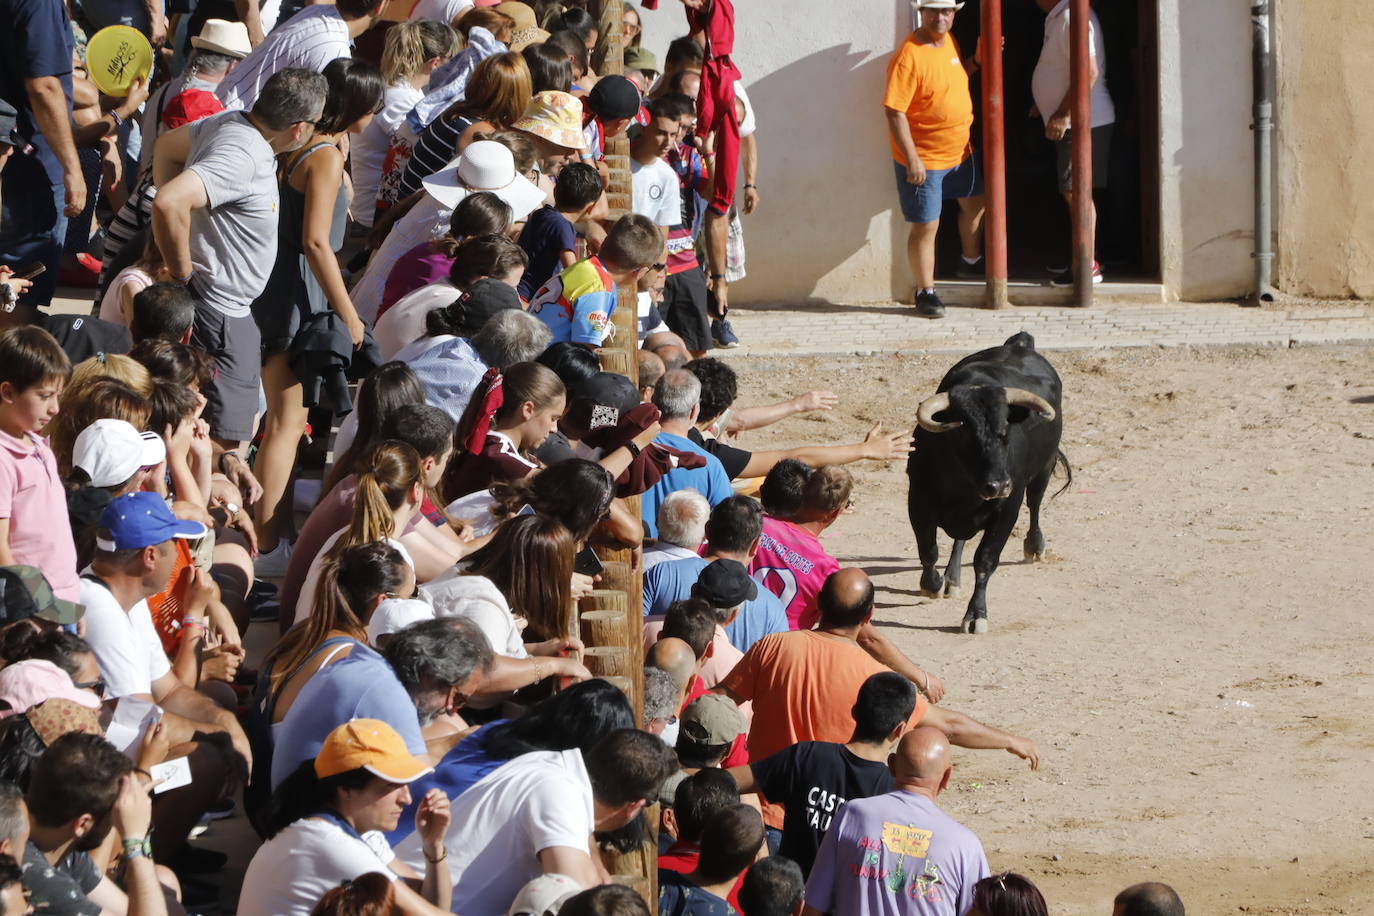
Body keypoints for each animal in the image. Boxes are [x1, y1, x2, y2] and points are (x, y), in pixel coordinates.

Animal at [906, 333, 1066, 634]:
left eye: (1005, 431)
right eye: (963, 431)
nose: (998, 485)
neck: (963, 488)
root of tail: (1021, 344)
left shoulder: (1006, 511)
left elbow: (985, 561)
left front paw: (976, 614)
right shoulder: (918, 504)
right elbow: (929, 551)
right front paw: (932, 585)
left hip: (1044, 468)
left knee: (1035, 503)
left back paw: (1034, 545)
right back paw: (952, 577)